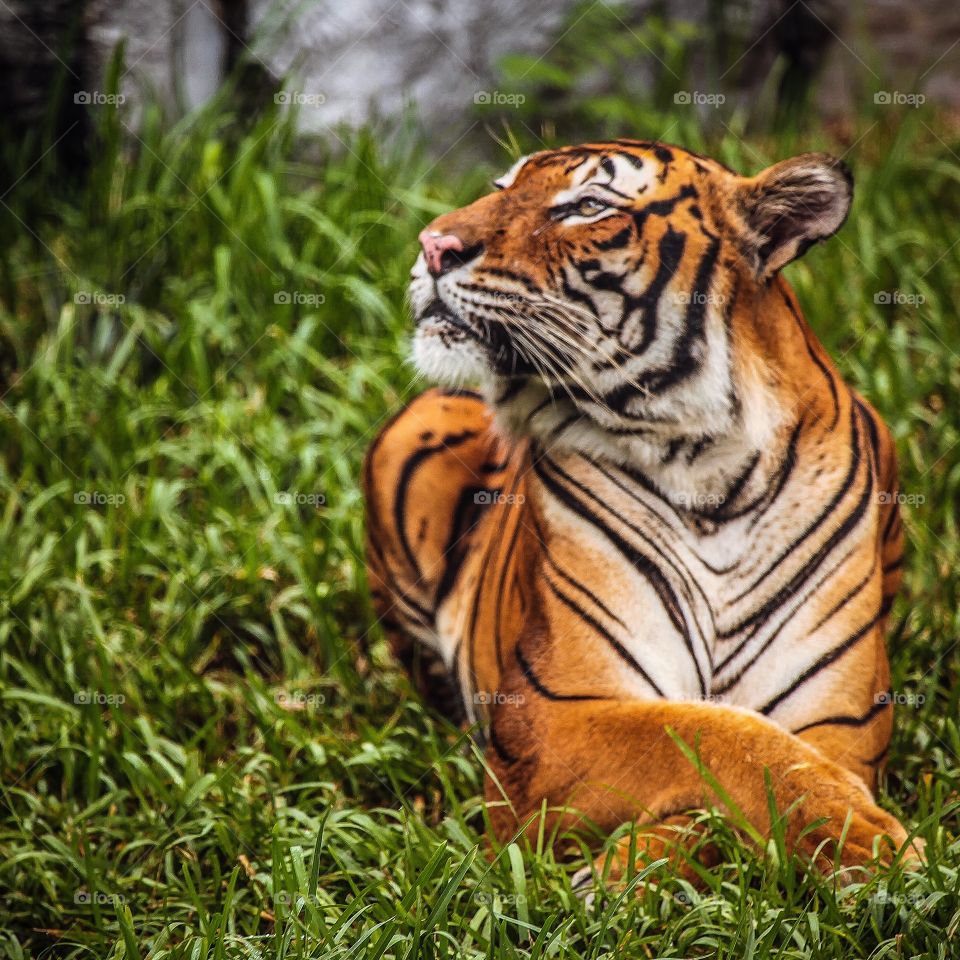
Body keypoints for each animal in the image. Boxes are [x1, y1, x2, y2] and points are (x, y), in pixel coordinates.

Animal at [362, 139, 924, 888]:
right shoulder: (549, 718)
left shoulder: (839, 724)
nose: (432, 245)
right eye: (500, 187)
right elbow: (719, 736)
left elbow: (749, 773)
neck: (708, 472)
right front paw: (871, 841)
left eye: (586, 206)